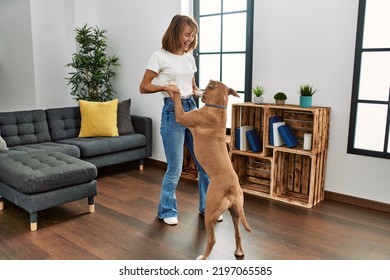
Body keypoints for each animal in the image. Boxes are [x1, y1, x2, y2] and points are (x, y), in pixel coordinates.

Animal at [171, 80, 251, 260]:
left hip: (210, 211)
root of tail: (232, 188)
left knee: (212, 240)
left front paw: (175, 89)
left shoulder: (181, 116)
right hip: (236, 212)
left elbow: (177, 100)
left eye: (207, 87)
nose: (197, 89)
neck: (218, 108)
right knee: (238, 233)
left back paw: (202, 257)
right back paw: (239, 251)